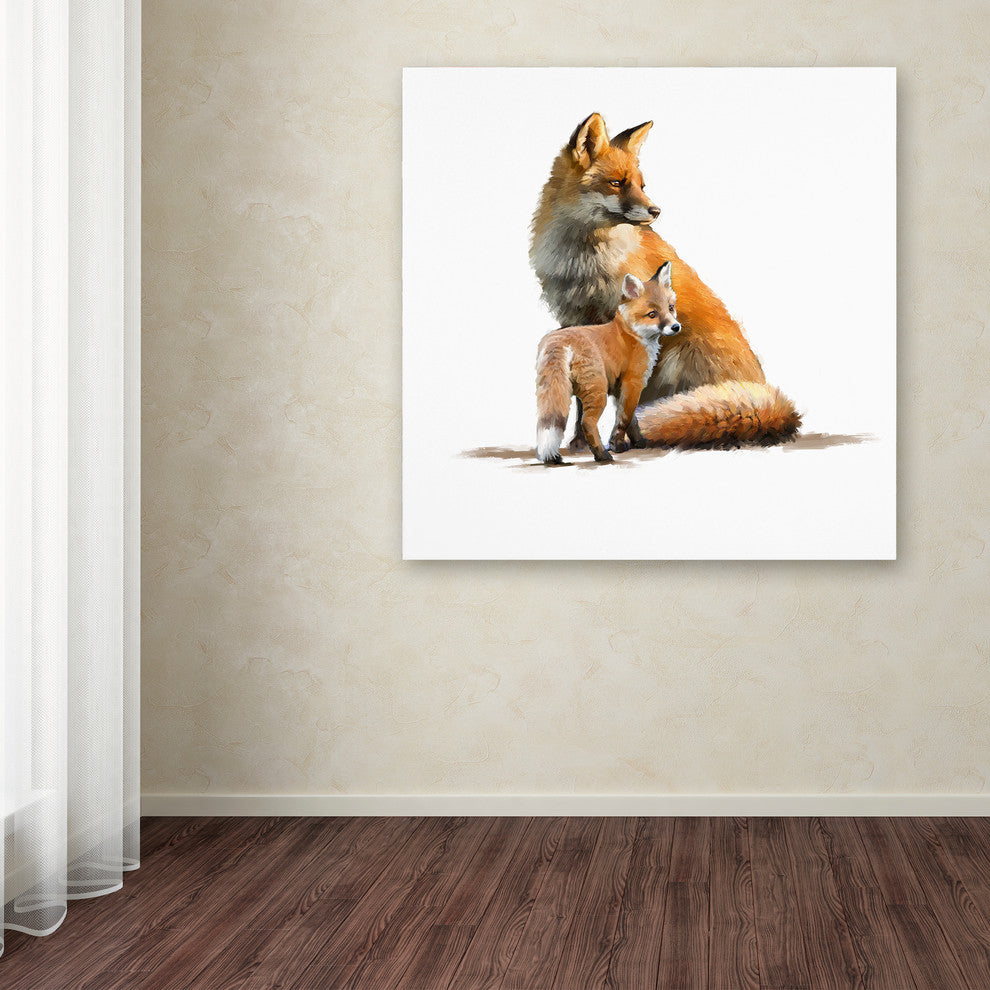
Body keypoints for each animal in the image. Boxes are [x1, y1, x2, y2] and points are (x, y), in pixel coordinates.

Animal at [536, 263, 681, 464]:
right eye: (652, 314)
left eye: (671, 308)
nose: (676, 327)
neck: (631, 333)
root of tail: (559, 340)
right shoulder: (633, 382)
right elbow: (624, 419)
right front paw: (617, 445)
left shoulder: (620, 387)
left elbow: (631, 419)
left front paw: (638, 441)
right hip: (598, 391)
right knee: (587, 422)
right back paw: (601, 455)